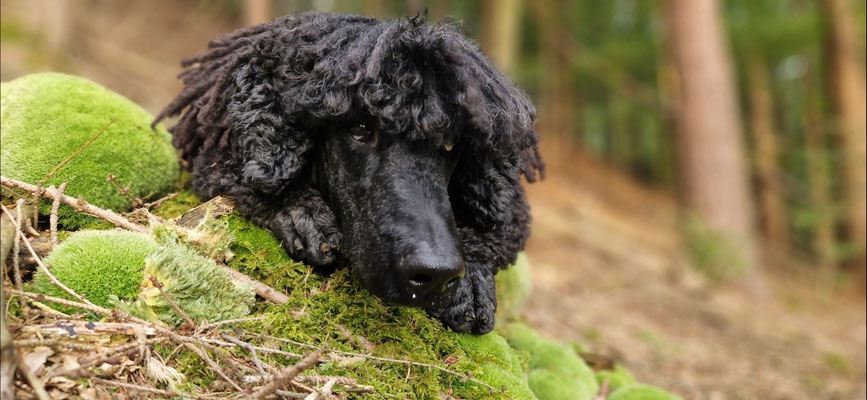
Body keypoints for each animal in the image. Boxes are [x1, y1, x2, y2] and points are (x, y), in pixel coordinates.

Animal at [155, 12, 543, 334]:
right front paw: (303, 213)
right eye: (359, 129)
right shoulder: (218, 159)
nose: (435, 274)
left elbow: (494, 234)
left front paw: (471, 281)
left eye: (450, 145)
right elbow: (254, 182)